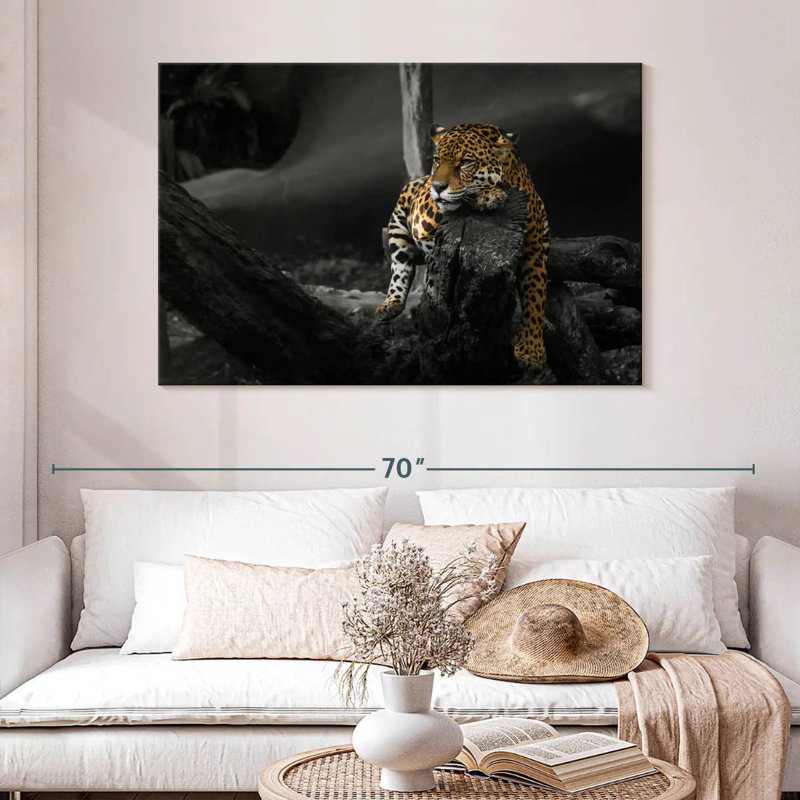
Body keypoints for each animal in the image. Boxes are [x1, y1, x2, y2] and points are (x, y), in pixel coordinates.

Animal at [376, 122, 550, 371]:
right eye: (437, 160)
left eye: (465, 162)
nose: (438, 186)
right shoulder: (424, 210)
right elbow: (458, 199)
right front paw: (489, 195)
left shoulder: (534, 247)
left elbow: (536, 293)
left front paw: (531, 350)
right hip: (401, 222)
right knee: (400, 266)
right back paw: (391, 303)